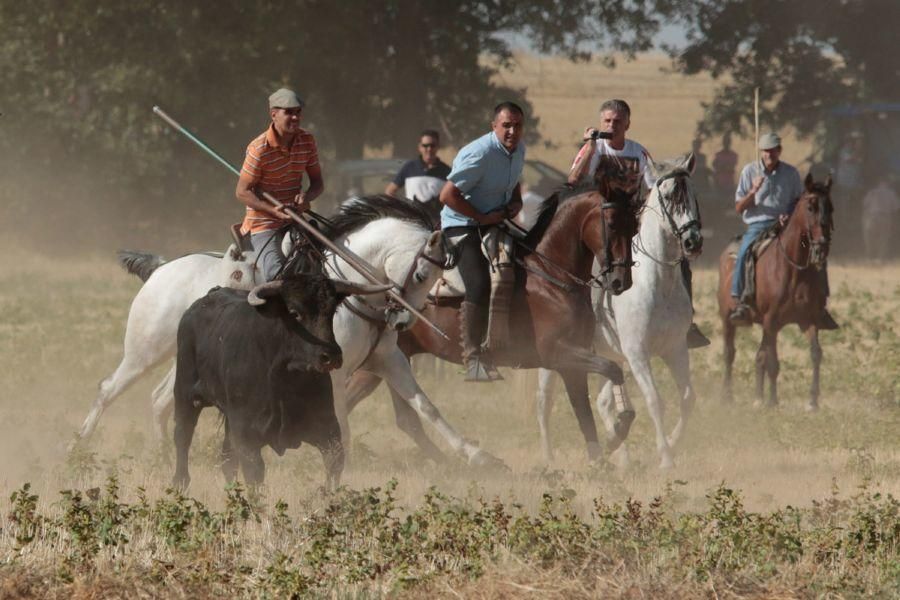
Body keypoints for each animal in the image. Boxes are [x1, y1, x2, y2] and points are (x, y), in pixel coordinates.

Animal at [75, 197, 500, 468]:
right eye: (422, 274)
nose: (403, 322)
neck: (348, 286)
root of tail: (162, 267)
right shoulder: (335, 370)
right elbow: (341, 417)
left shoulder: (388, 359)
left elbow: (426, 407)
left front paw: (479, 456)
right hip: (144, 351)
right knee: (108, 389)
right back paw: (79, 446)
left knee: (161, 399)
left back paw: (165, 455)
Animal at [174, 274, 388, 490]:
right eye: (294, 312)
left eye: (332, 310)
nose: (331, 356)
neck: (284, 376)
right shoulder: (246, 435)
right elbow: (255, 474)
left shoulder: (328, 428)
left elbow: (334, 464)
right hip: (185, 395)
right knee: (183, 438)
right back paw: (180, 484)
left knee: (227, 460)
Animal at [338, 184, 640, 464]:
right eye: (612, 224)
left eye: (635, 225)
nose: (620, 281)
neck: (550, 277)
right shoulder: (558, 353)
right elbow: (611, 370)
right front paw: (615, 435)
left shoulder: (572, 362)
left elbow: (584, 410)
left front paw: (601, 458)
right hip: (376, 363)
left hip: (392, 358)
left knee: (405, 418)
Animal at [536, 157, 704, 472]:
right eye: (669, 196)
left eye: (694, 195)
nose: (693, 242)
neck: (657, 283)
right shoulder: (637, 353)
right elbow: (654, 400)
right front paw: (665, 457)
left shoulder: (675, 348)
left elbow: (688, 398)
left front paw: (672, 443)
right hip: (554, 358)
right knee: (544, 402)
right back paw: (549, 459)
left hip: (606, 355)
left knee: (604, 402)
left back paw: (619, 452)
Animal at [716, 172, 836, 408]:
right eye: (810, 207)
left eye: (831, 207)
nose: (822, 246)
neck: (794, 269)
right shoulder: (771, 320)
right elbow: (773, 361)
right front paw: (773, 400)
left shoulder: (808, 319)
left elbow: (815, 354)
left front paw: (812, 401)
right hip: (728, 317)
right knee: (729, 353)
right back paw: (727, 396)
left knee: (759, 355)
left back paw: (757, 397)